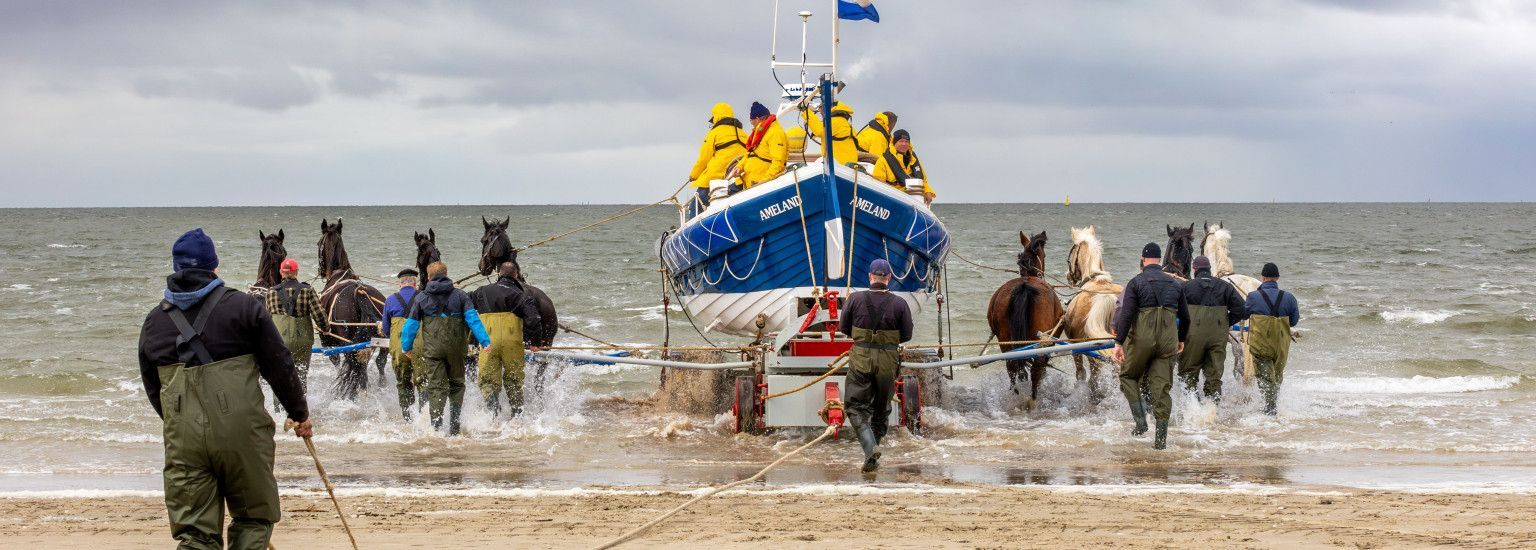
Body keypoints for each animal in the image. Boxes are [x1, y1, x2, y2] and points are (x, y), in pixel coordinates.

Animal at [314, 219, 387, 399]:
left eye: (319, 243)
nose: (321, 271)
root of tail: (359, 293)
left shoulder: (328, 343)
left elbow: (337, 364)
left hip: (348, 343)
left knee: (353, 366)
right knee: (380, 362)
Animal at [989, 230, 1062, 411]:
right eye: (1044, 255)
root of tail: (1024, 286)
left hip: (1005, 339)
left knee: (1011, 366)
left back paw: (1015, 394)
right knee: (1037, 368)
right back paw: (1033, 399)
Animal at [1062, 222, 1124, 399]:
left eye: (1071, 253)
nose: (1068, 276)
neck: (1097, 280)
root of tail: (1106, 296)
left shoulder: (1075, 346)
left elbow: (1081, 373)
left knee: (1095, 375)